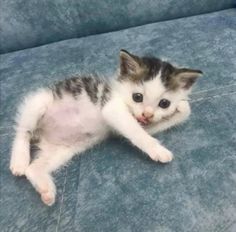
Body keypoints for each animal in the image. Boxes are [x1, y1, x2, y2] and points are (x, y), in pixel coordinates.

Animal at [9, 49, 203, 206]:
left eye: (164, 103)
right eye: (137, 97)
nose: (146, 115)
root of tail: (41, 135)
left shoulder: (136, 126)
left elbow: (182, 112)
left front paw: (181, 106)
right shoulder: (111, 108)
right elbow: (135, 131)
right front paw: (158, 150)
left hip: (61, 150)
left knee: (33, 169)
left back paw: (46, 189)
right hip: (39, 101)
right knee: (23, 132)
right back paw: (19, 161)